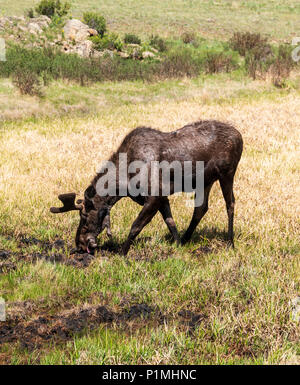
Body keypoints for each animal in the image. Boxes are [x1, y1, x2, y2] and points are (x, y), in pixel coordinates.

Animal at [50, 118, 244, 254]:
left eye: (84, 218)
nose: (80, 244)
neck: (122, 184)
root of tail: (240, 137)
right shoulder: (162, 197)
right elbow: (170, 222)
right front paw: (178, 244)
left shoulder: (154, 196)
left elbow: (136, 225)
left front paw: (122, 252)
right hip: (205, 181)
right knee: (201, 208)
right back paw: (187, 238)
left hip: (227, 174)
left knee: (230, 204)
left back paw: (230, 242)